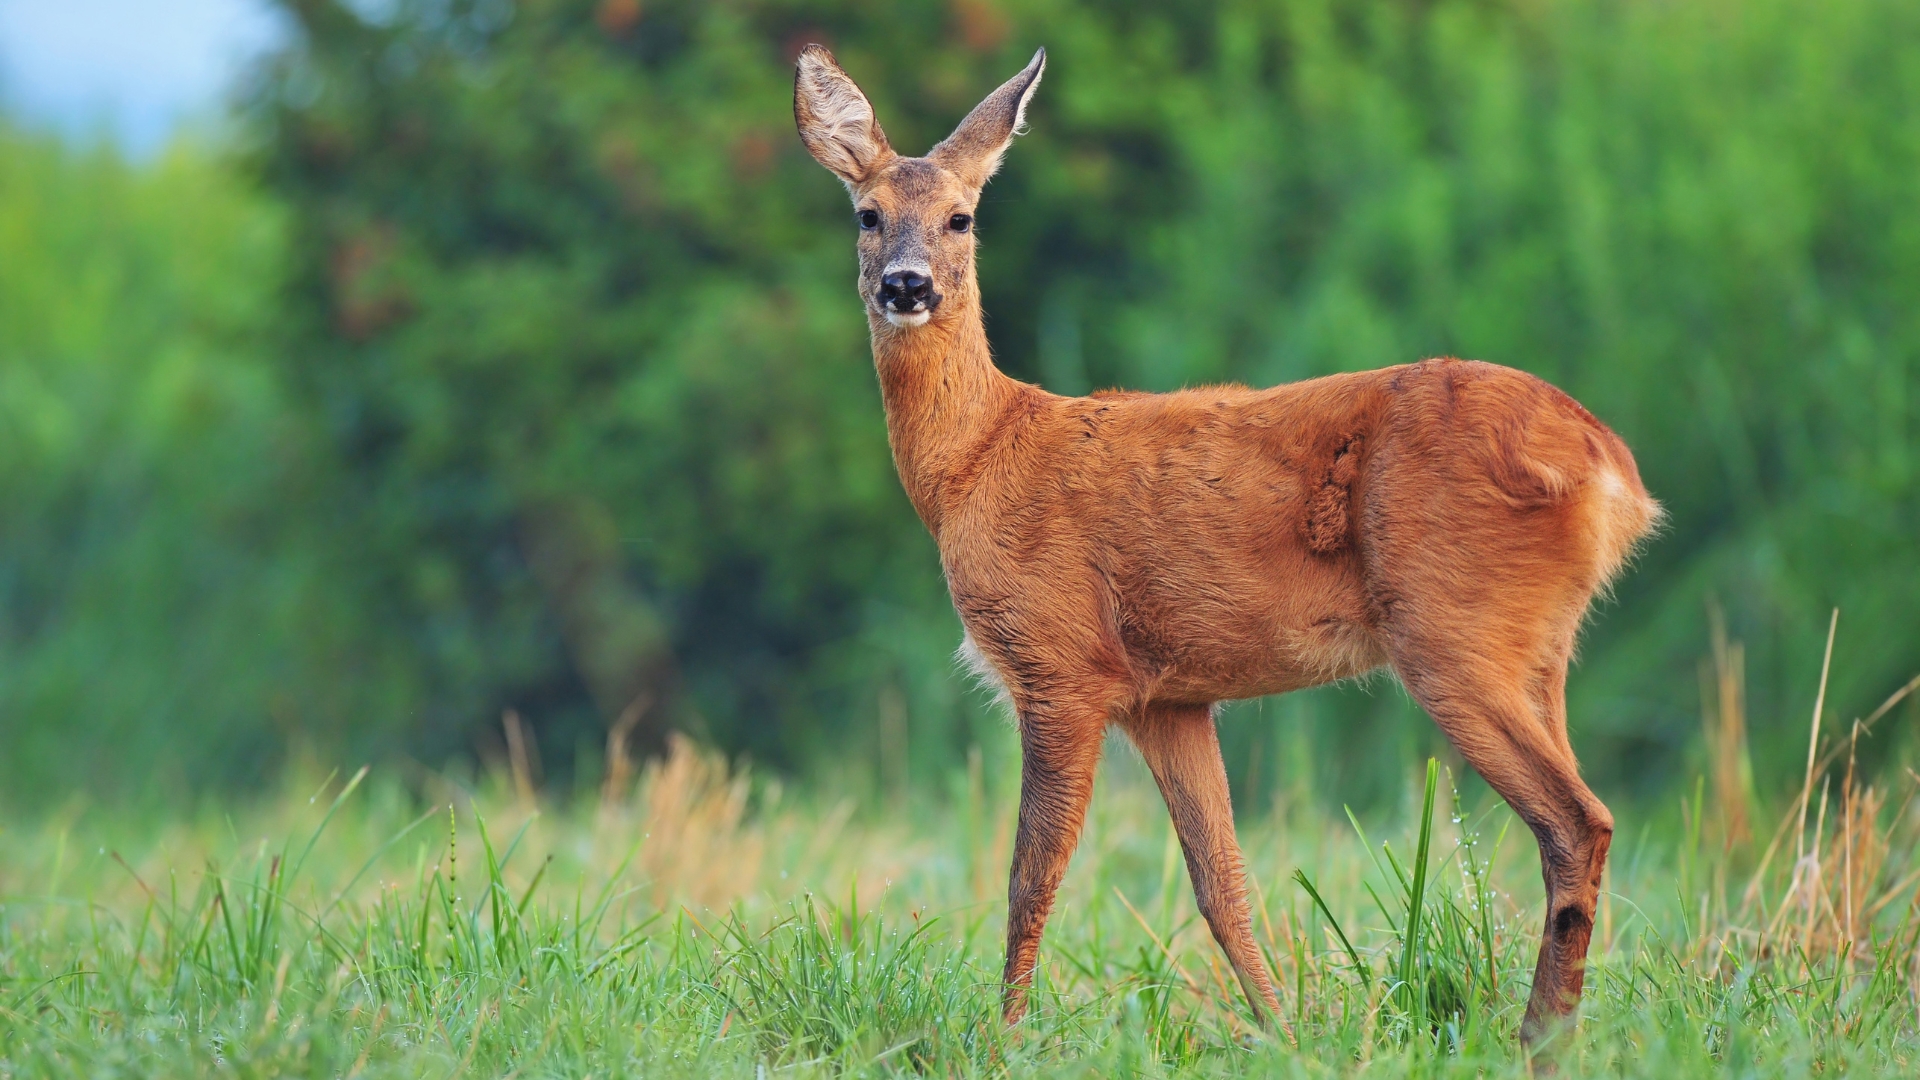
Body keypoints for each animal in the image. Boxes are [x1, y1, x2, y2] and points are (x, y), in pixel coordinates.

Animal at [794, 44, 1666, 1045]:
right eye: (867, 214)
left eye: (961, 216)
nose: (907, 285)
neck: (976, 460)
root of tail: (1609, 469)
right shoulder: (1168, 697)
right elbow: (1223, 883)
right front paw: (1288, 1035)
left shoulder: (1059, 661)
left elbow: (1030, 877)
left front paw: (1005, 1038)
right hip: (1540, 646)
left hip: (1450, 626)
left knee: (1577, 820)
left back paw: (1536, 1039)